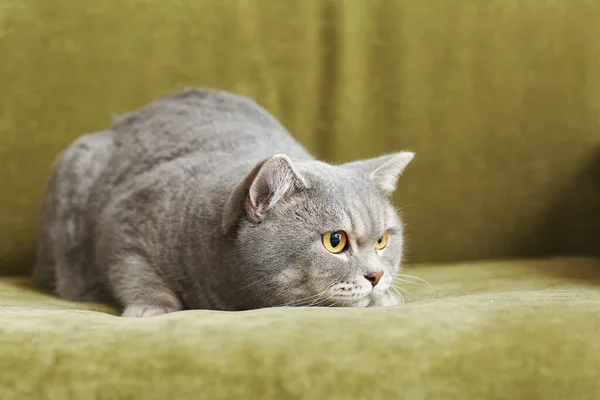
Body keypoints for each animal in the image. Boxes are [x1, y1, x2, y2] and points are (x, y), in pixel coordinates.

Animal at [31, 89, 412, 318]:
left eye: (382, 240)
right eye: (335, 241)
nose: (376, 275)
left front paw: (385, 296)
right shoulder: (122, 226)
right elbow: (136, 274)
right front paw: (153, 308)